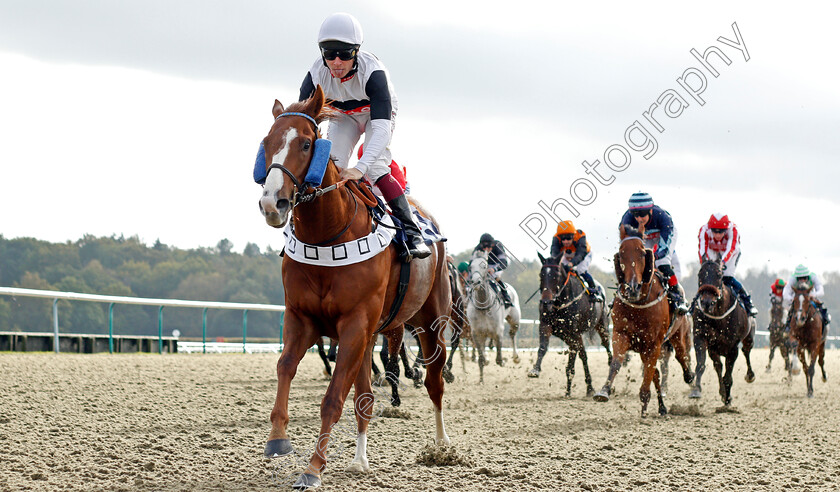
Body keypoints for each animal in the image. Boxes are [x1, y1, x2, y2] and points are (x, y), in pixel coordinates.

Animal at [258, 86, 450, 490]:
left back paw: (442, 447)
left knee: (435, 383)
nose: (272, 203)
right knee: (366, 395)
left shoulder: (354, 324)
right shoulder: (303, 317)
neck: (329, 234)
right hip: (371, 335)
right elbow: (285, 367)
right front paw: (278, 440)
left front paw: (313, 468)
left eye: (306, 143)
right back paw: (360, 460)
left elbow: (333, 398)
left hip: (431, 322)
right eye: (266, 142)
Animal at [466, 250, 520, 384]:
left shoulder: (498, 331)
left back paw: (515, 357)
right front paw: (481, 380)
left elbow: (499, 359)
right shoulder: (477, 334)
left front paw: (504, 360)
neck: (483, 306)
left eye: (484, 266)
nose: (475, 282)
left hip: (515, 320)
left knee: (512, 334)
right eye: (470, 267)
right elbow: (481, 359)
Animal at [592, 226, 692, 416]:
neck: (639, 304)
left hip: (677, 334)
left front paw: (644, 399)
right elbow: (617, 362)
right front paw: (604, 391)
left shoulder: (654, 343)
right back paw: (661, 407)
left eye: (642, 253)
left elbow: (649, 373)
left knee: (682, 355)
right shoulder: (621, 334)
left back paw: (689, 376)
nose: (632, 288)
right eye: (622, 253)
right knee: (656, 373)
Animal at [688, 260, 756, 406]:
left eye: (719, 275)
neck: (718, 315)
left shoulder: (733, 346)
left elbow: (728, 376)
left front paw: (728, 397)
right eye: (699, 274)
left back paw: (750, 375)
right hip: (715, 348)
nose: (707, 302)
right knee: (718, 366)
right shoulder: (701, 338)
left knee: (746, 351)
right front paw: (696, 389)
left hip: (749, 337)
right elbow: (702, 365)